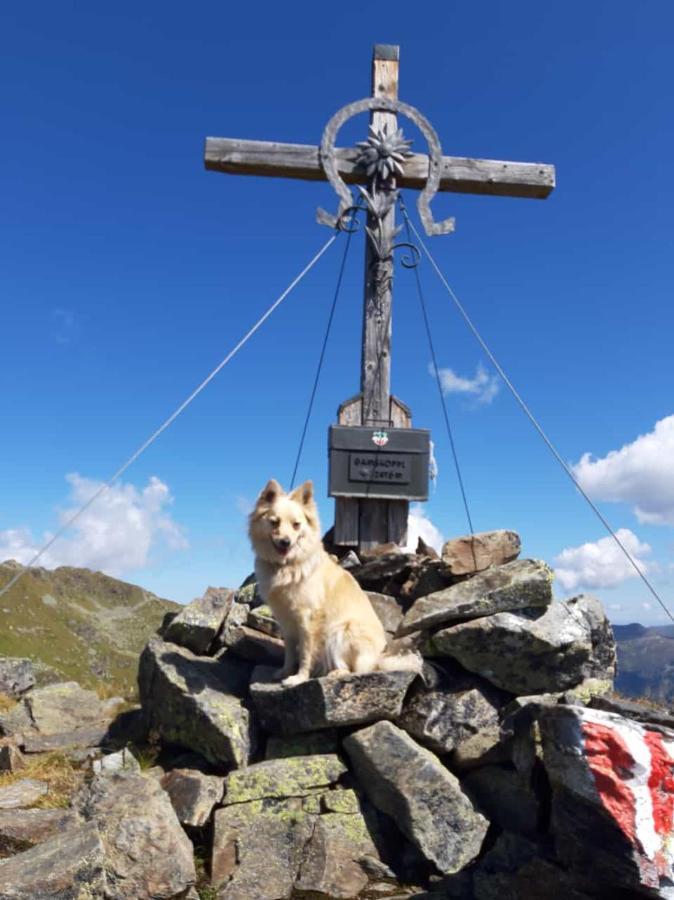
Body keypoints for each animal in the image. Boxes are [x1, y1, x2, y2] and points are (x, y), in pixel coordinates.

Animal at [247, 478, 420, 684]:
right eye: (274, 523)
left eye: (296, 525)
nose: (285, 542)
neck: (286, 565)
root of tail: (378, 660)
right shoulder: (285, 620)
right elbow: (290, 651)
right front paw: (286, 671)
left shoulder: (307, 619)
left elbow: (305, 652)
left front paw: (299, 677)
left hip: (339, 632)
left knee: (356, 670)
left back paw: (336, 673)